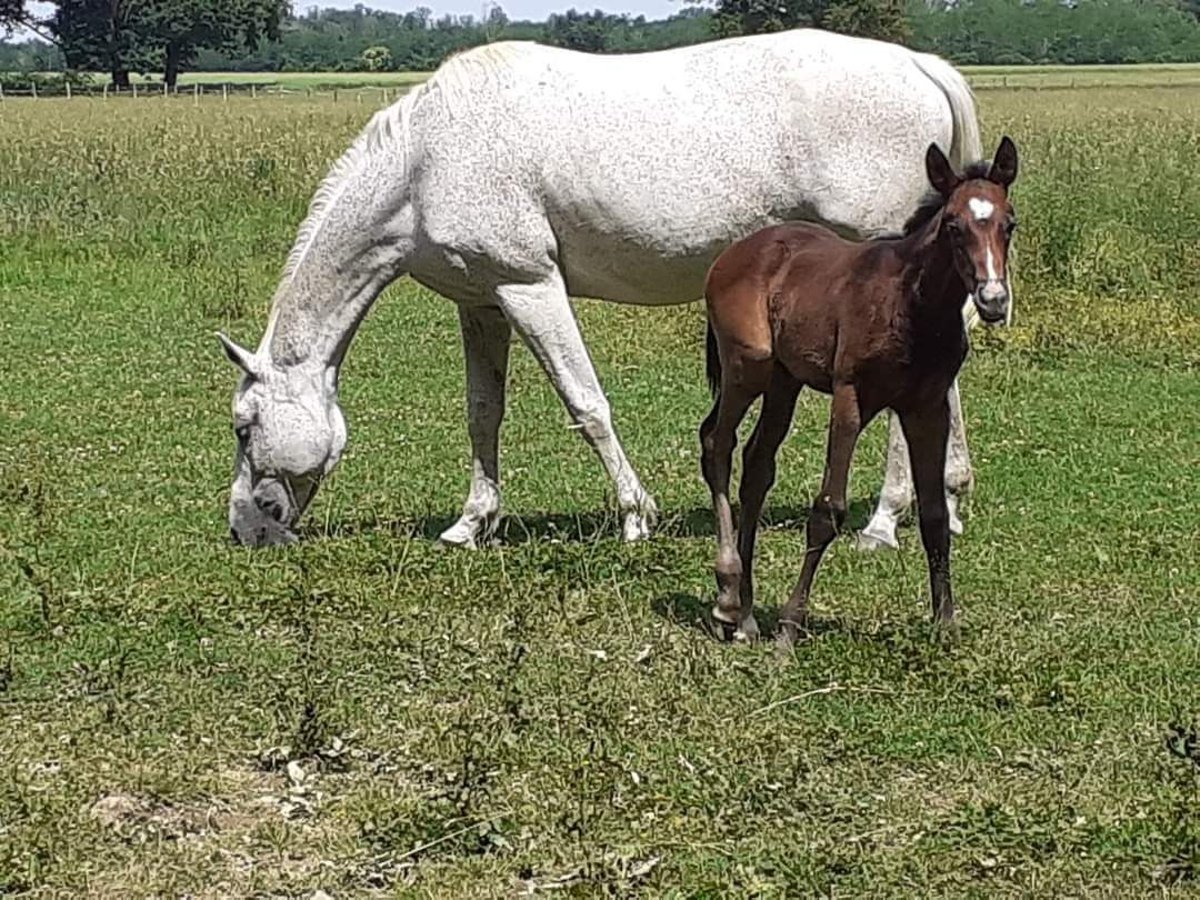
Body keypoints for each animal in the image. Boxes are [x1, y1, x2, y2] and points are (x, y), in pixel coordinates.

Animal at [218, 30, 993, 549]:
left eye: (244, 425)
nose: (246, 529)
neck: (425, 160)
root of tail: (918, 65)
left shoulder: (529, 286)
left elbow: (586, 404)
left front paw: (634, 516)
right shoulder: (482, 303)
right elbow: (482, 414)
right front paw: (471, 523)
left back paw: (884, 520)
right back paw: (949, 500)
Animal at [700, 137, 1022, 643]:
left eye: (1010, 223)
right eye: (953, 225)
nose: (992, 301)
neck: (911, 306)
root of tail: (734, 253)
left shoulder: (926, 408)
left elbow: (934, 514)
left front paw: (945, 625)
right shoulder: (850, 397)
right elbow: (827, 510)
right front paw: (789, 631)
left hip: (784, 380)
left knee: (757, 463)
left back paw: (747, 614)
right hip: (747, 367)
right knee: (717, 442)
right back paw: (729, 599)